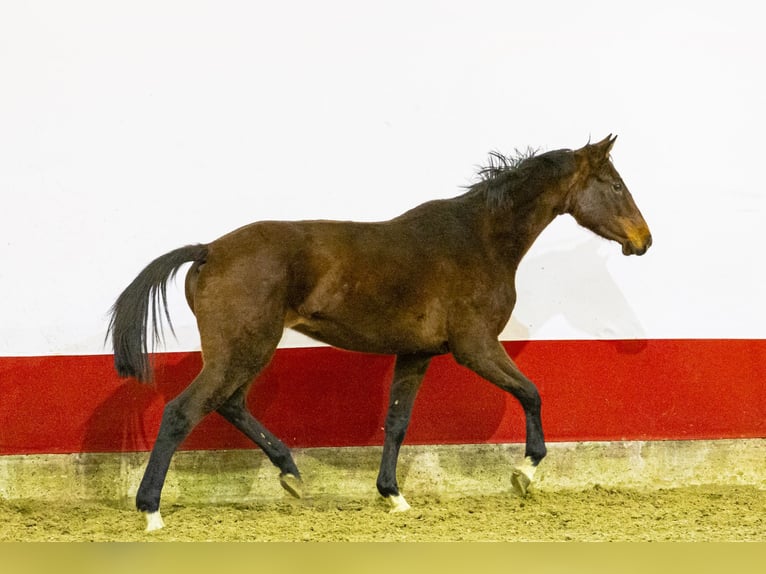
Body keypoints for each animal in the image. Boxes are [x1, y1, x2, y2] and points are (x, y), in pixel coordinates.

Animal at [108, 135, 652, 531]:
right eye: (615, 185)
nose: (644, 240)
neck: (479, 240)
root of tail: (208, 251)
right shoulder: (475, 346)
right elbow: (531, 393)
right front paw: (525, 473)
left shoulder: (417, 353)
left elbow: (397, 421)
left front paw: (394, 496)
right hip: (243, 350)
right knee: (184, 412)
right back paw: (152, 510)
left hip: (246, 352)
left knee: (230, 404)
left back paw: (292, 475)